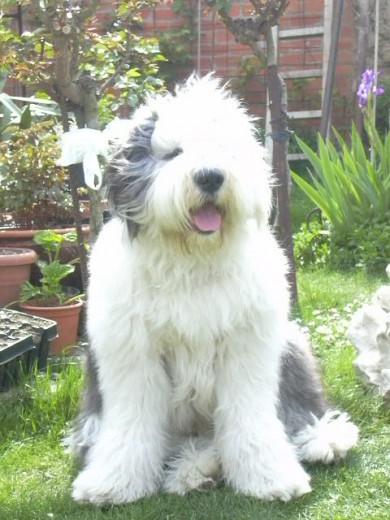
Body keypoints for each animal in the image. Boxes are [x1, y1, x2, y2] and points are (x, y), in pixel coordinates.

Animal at [71, 76, 360, 504]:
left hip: (290, 343)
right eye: (172, 154)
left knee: (296, 407)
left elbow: (251, 418)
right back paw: (195, 470)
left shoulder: (246, 347)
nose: (210, 176)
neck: (191, 257)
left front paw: (269, 476)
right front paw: (113, 482)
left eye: (225, 151)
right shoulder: (132, 353)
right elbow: (131, 420)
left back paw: (323, 439)